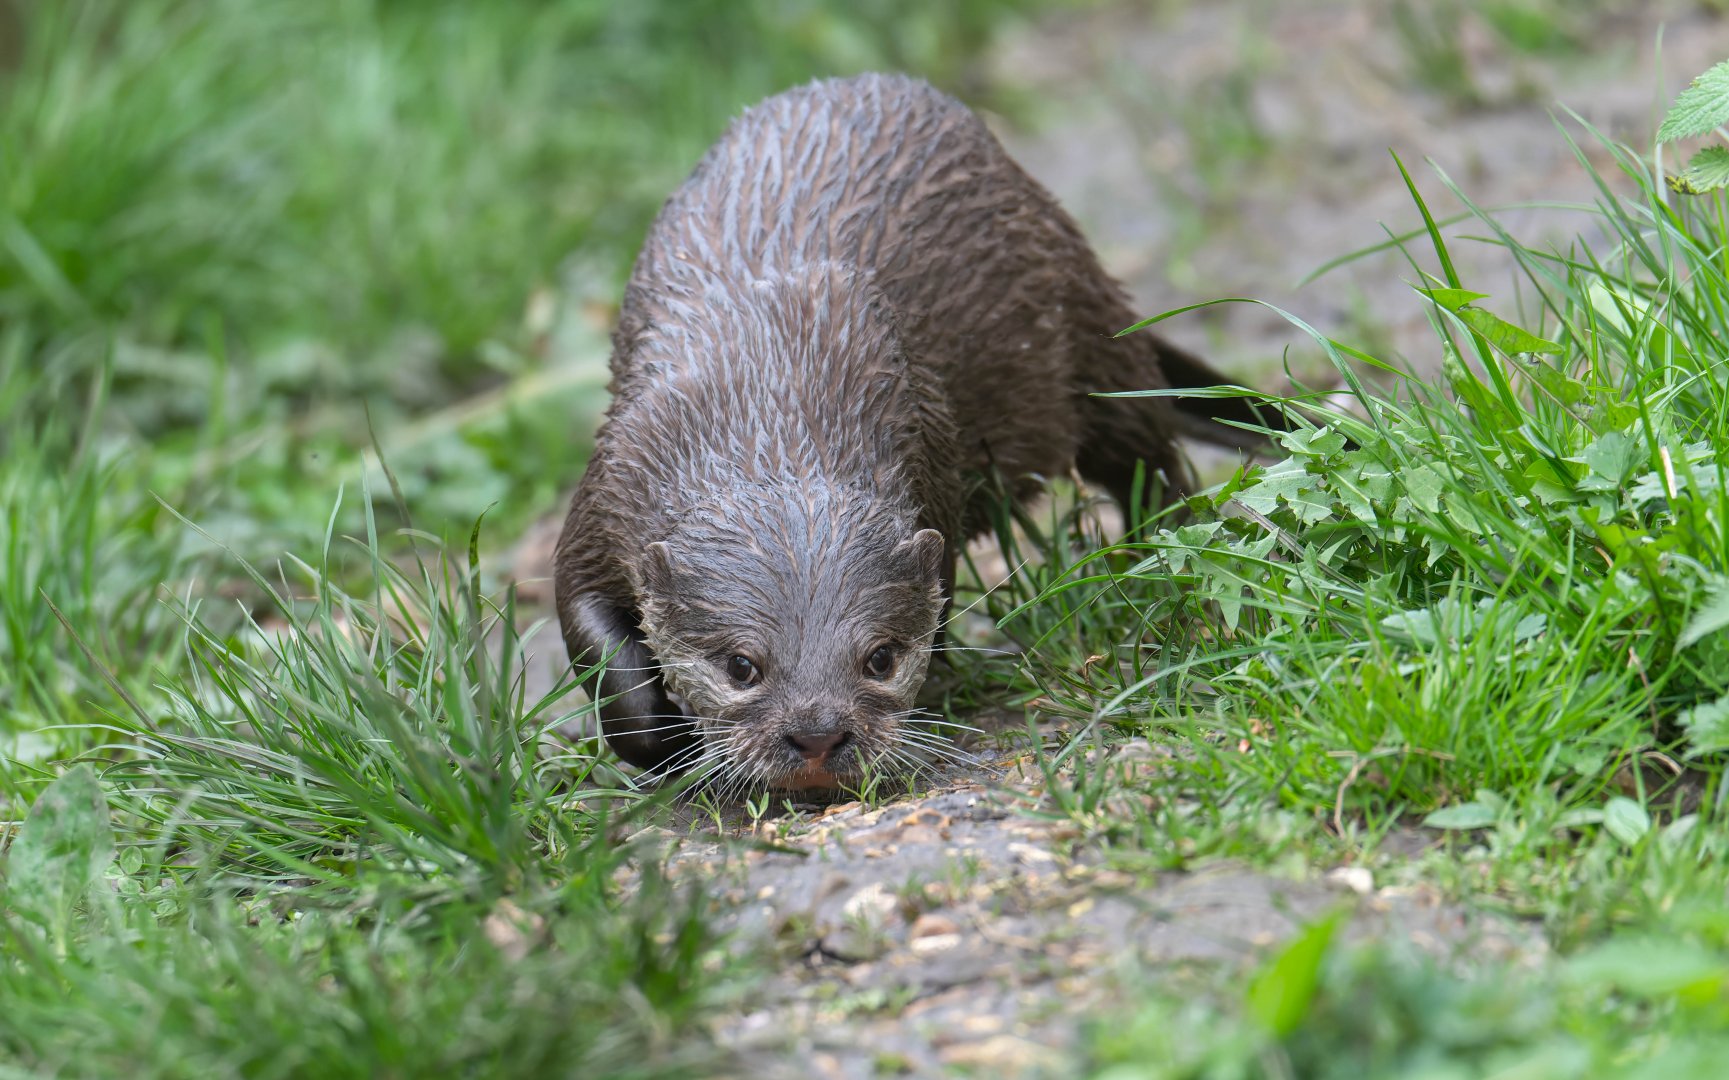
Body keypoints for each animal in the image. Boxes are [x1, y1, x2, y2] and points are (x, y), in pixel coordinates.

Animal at [555, 73, 1280, 791]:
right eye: (741, 666)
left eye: (879, 657)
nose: (817, 733)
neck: (768, 385)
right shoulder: (610, 485)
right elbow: (589, 632)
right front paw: (668, 741)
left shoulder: (932, 463)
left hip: (1088, 331)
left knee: (1146, 452)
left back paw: (1157, 560)